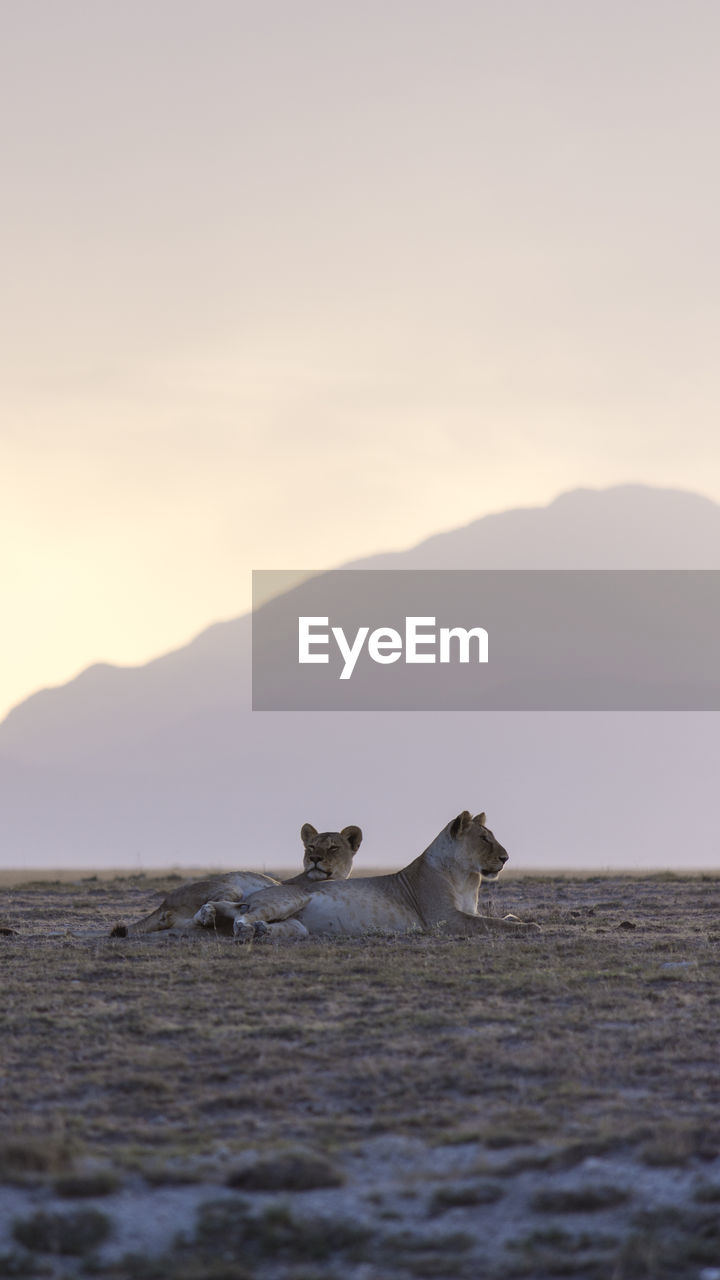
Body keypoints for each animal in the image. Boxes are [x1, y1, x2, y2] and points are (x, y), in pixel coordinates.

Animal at [193, 808, 535, 942]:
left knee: (242, 911)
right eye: (485, 838)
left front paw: (519, 920)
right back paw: (243, 929)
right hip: (290, 898)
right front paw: (531, 925)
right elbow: (494, 924)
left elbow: (504, 918)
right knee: (241, 916)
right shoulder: (445, 920)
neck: (467, 878)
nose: (505, 858)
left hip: (296, 926)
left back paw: (246, 926)